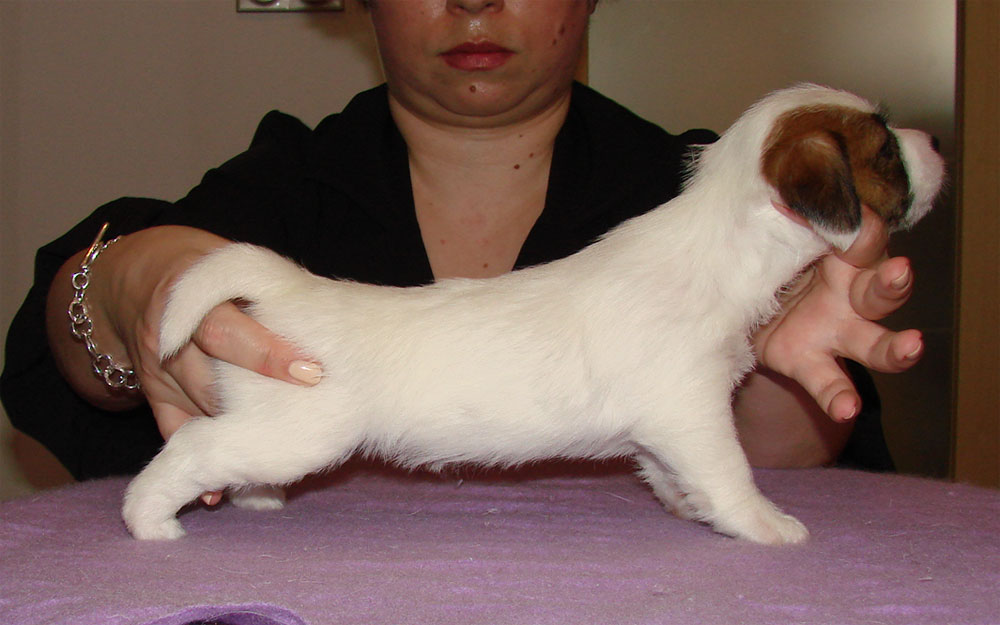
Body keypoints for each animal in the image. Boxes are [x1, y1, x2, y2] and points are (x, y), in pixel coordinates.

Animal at [123, 85, 944, 542]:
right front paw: (766, 525)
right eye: (883, 149)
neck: (718, 247)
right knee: (190, 447)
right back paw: (149, 520)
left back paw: (255, 501)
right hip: (294, 433)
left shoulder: (664, 428)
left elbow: (668, 473)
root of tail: (290, 289)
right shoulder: (696, 413)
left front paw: (688, 506)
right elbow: (733, 475)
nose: (934, 138)